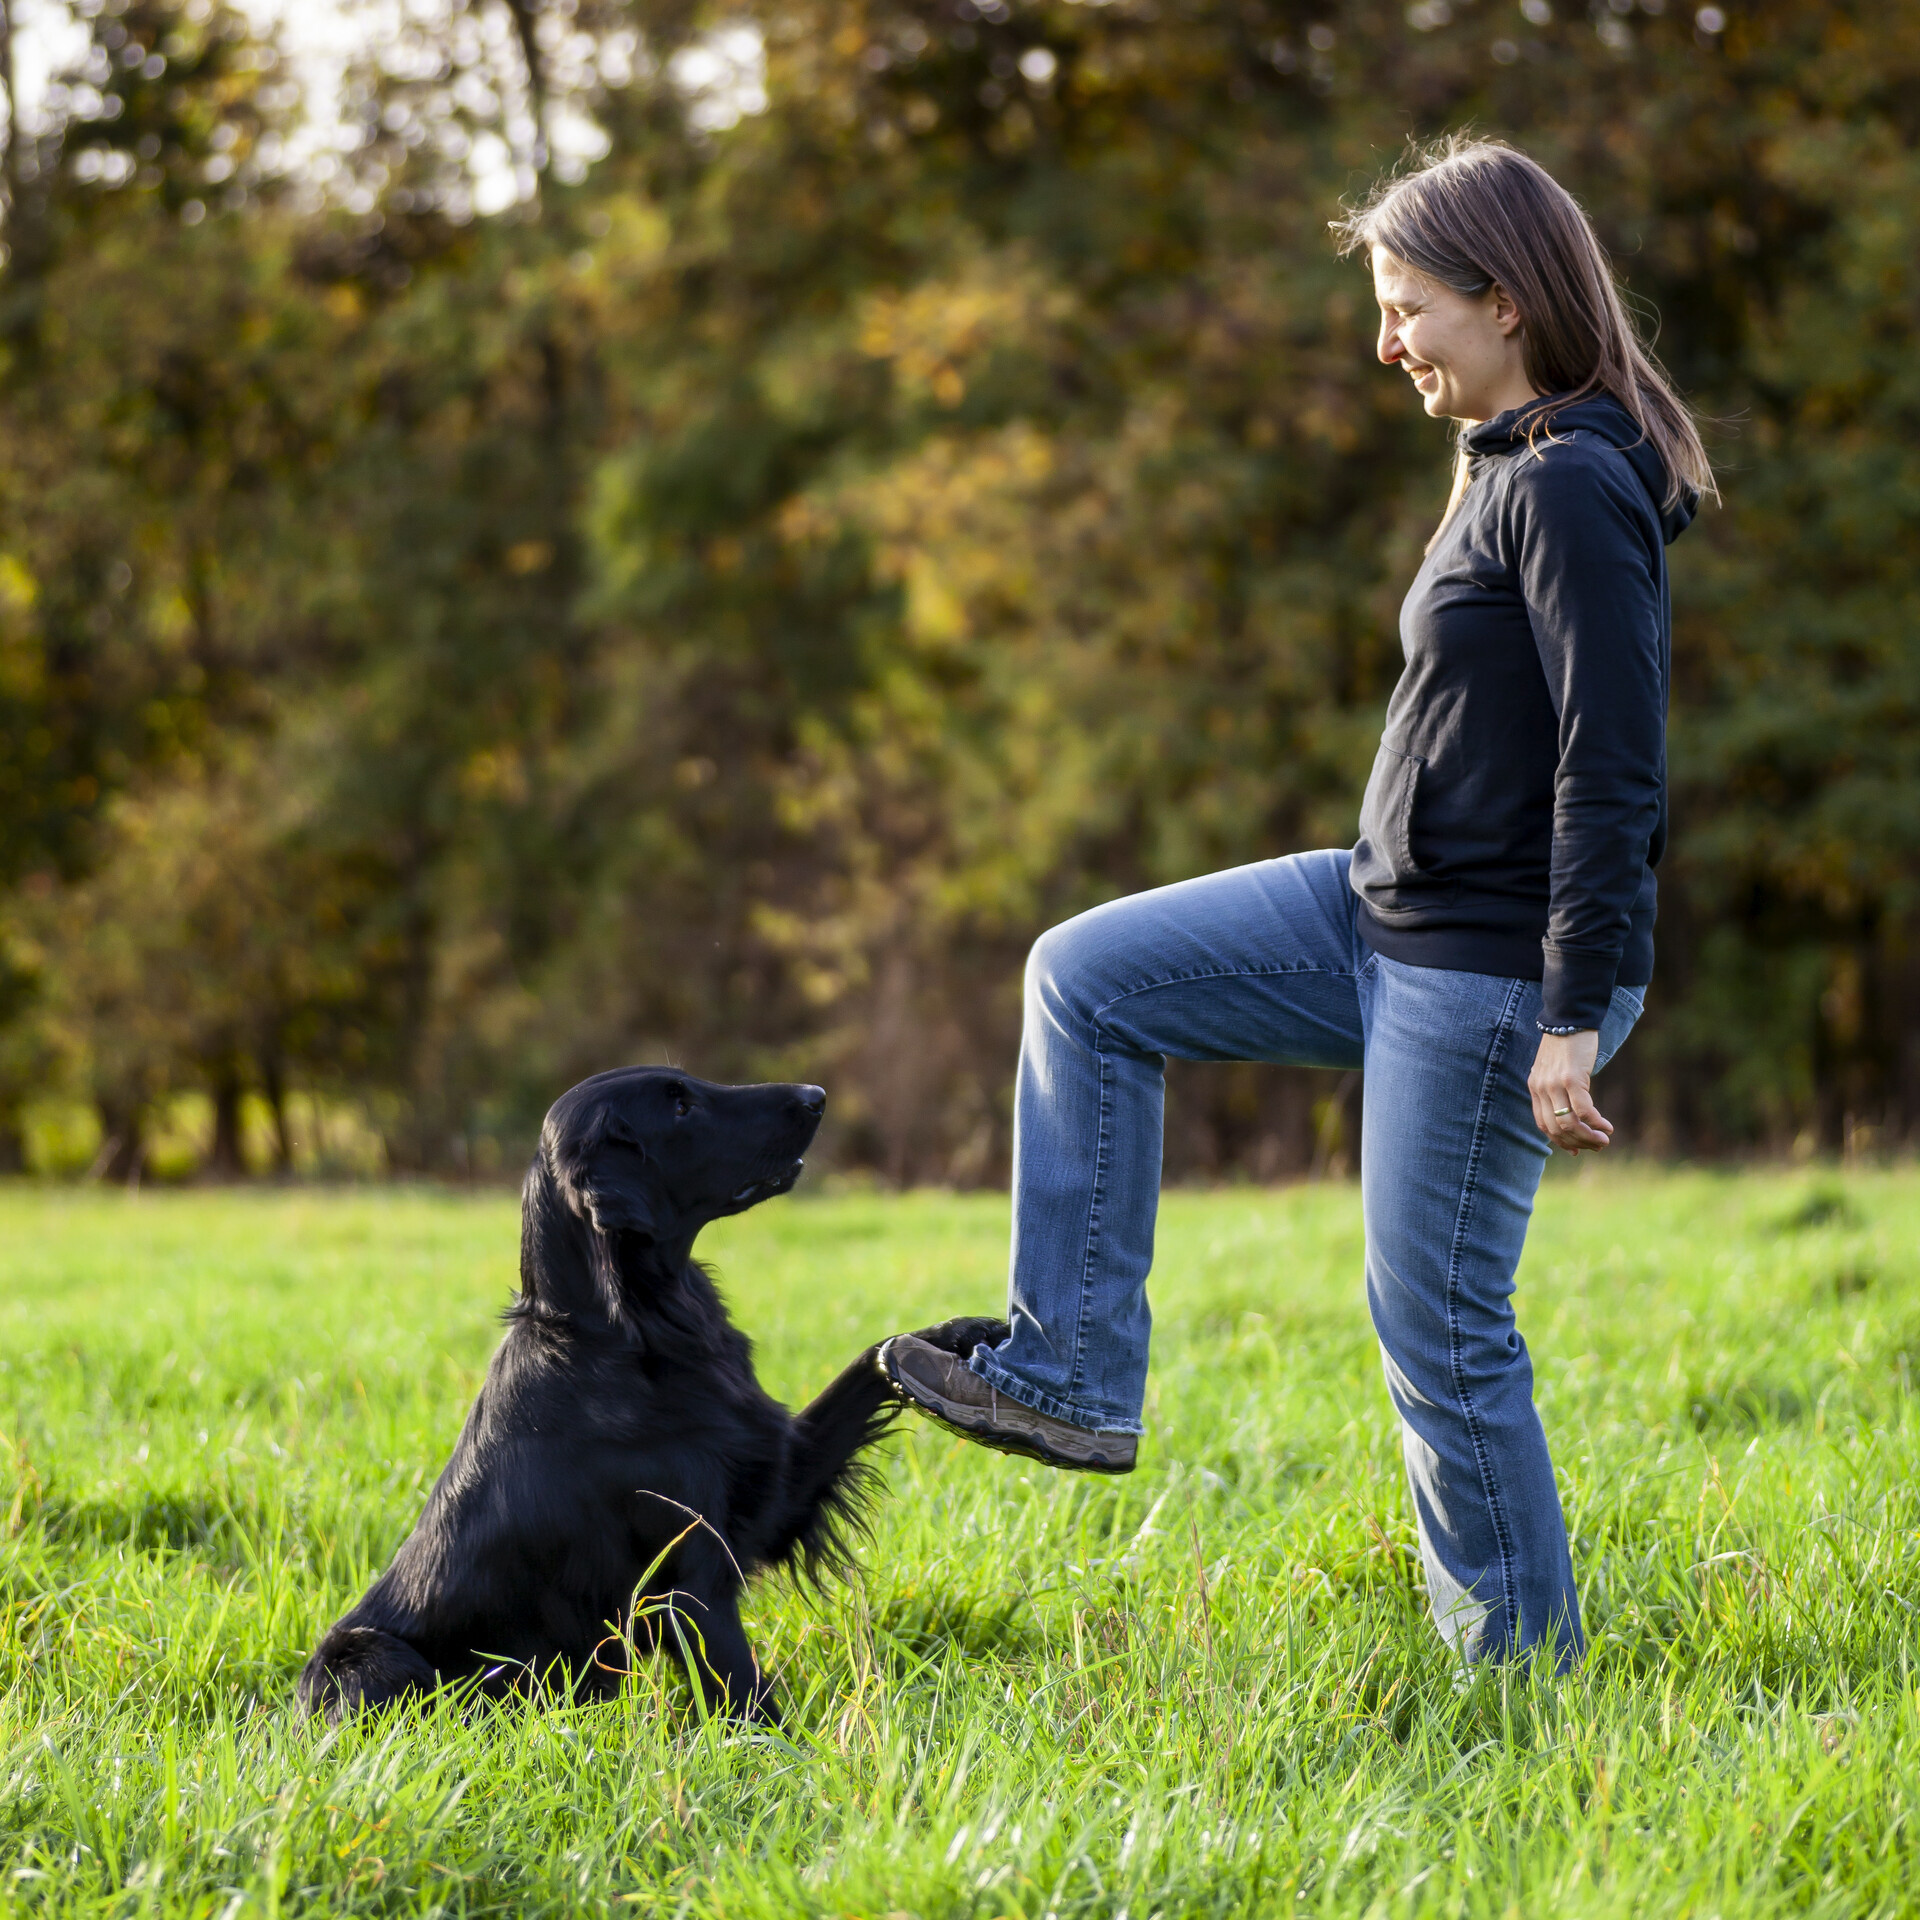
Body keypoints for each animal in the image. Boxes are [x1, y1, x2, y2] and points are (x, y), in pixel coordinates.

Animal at [299, 1067, 1006, 1728]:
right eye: (679, 1107)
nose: (817, 1095)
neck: (639, 1332)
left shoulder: (773, 1484)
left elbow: (874, 1360)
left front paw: (964, 1338)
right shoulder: (688, 1583)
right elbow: (748, 1697)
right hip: (372, 1659)